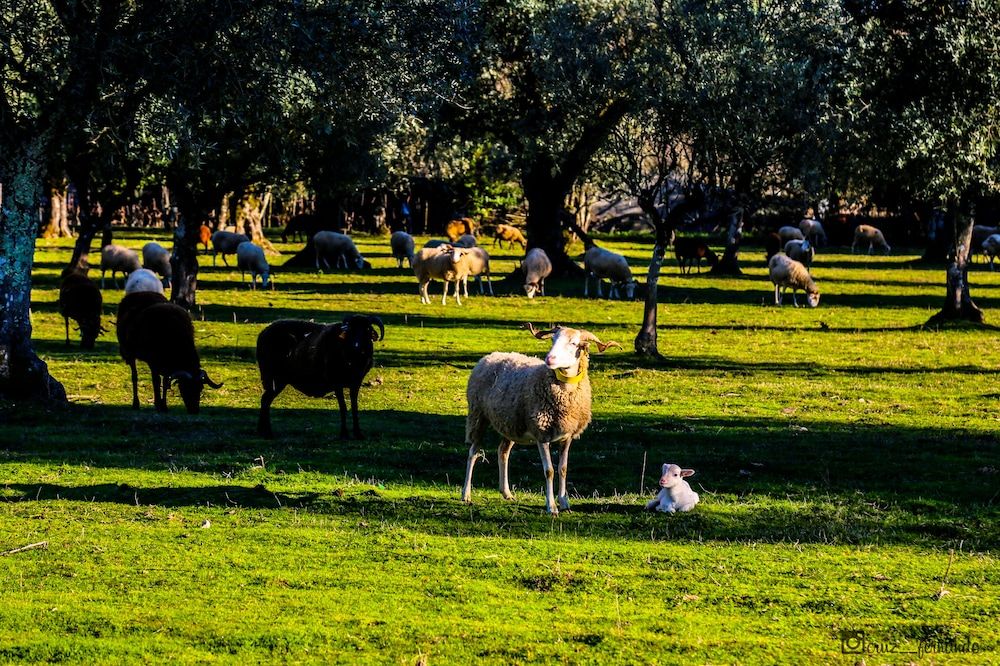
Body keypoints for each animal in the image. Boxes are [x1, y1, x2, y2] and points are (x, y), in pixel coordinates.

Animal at [256, 316, 384, 438]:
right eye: (350, 331)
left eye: (367, 329)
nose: (356, 347)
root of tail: (263, 332)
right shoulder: (337, 383)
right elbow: (343, 407)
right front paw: (344, 434)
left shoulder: (356, 383)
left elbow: (354, 407)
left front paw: (358, 434)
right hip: (274, 378)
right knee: (265, 400)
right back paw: (267, 433)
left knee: (265, 400)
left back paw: (263, 432)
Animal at [464, 322, 620, 512]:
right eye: (553, 340)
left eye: (574, 343)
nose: (549, 359)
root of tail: (490, 356)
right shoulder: (542, 434)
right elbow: (549, 471)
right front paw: (551, 506)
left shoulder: (567, 436)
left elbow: (563, 469)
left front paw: (564, 502)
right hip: (478, 415)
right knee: (473, 452)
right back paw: (466, 495)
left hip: (510, 423)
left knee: (503, 451)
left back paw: (506, 493)